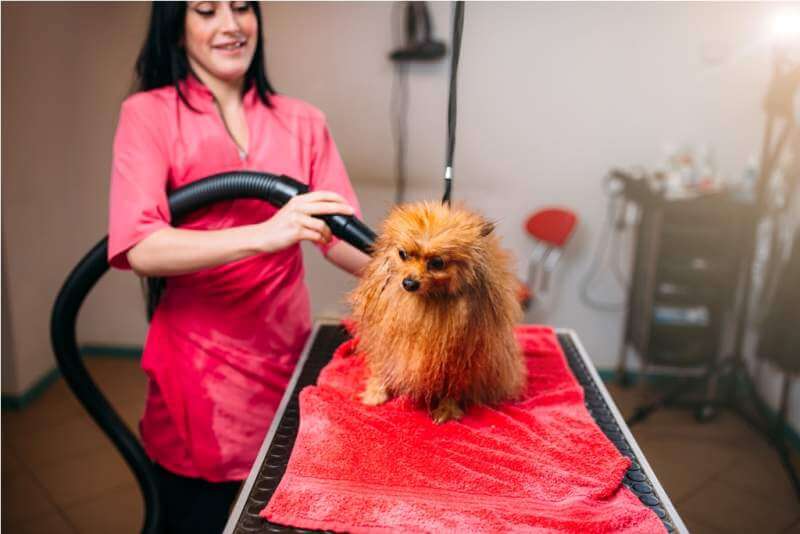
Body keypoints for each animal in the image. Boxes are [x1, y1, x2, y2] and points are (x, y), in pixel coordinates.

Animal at [348, 203, 524, 426]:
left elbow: (453, 388)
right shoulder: (384, 340)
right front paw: (375, 393)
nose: (409, 282)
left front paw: (447, 410)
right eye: (403, 254)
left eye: (437, 263)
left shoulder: (460, 357)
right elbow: (381, 367)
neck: (426, 301)